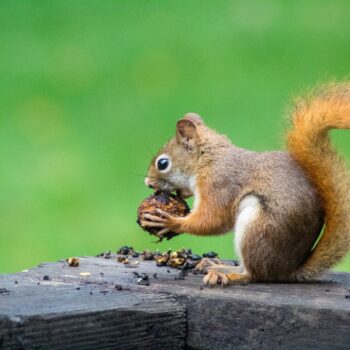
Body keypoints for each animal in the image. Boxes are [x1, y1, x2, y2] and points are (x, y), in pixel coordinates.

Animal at [141, 83, 350, 286]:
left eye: (162, 163)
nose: (147, 182)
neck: (206, 159)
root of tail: (288, 271)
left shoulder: (218, 184)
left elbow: (213, 219)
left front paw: (171, 222)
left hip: (257, 228)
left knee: (253, 275)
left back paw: (226, 274)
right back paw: (214, 265)